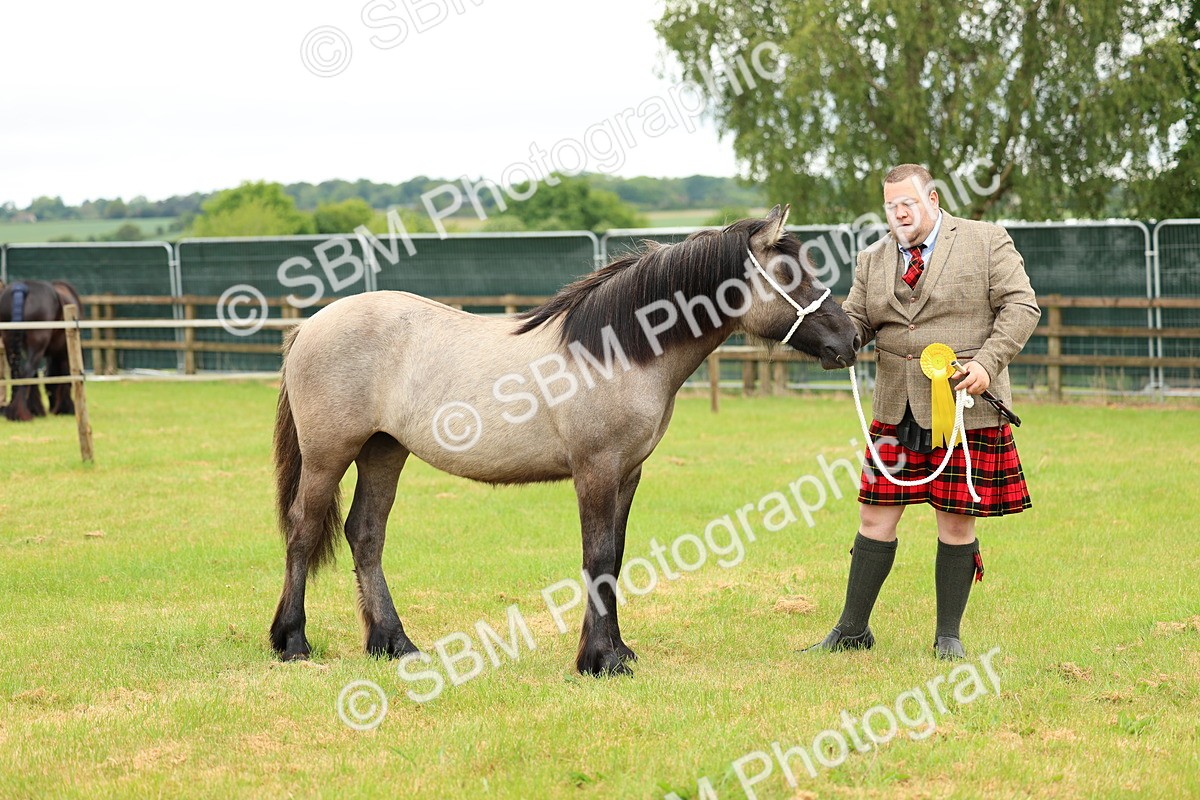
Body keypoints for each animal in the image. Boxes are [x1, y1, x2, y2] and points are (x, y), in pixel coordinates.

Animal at [0, 279, 84, 422]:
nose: (52, 407)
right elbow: (66, 376)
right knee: (26, 373)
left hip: (9, 344)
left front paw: (36, 409)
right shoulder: (64, 352)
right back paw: (20, 414)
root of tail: (21, 288)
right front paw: (66, 408)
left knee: (17, 373)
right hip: (36, 347)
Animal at [269, 205, 861, 675]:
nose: (851, 338)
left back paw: (394, 644)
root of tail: (310, 326)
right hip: (328, 455)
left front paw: (617, 650)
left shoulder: (628, 473)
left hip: (384, 451)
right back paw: (292, 642)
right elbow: (596, 557)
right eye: (790, 274)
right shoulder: (595, 469)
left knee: (366, 534)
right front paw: (599, 662)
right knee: (302, 529)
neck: (618, 349)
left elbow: (614, 559)